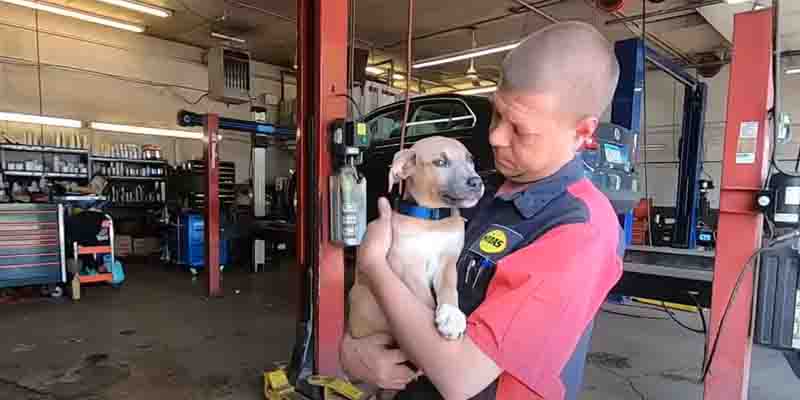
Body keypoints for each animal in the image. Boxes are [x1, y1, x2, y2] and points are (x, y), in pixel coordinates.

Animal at [348, 136, 484, 342]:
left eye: (470, 160)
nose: (477, 182)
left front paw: (451, 316)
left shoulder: (448, 262)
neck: (432, 220)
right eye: (440, 162)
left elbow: (449, 288)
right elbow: (425, 300)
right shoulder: (408, 267)